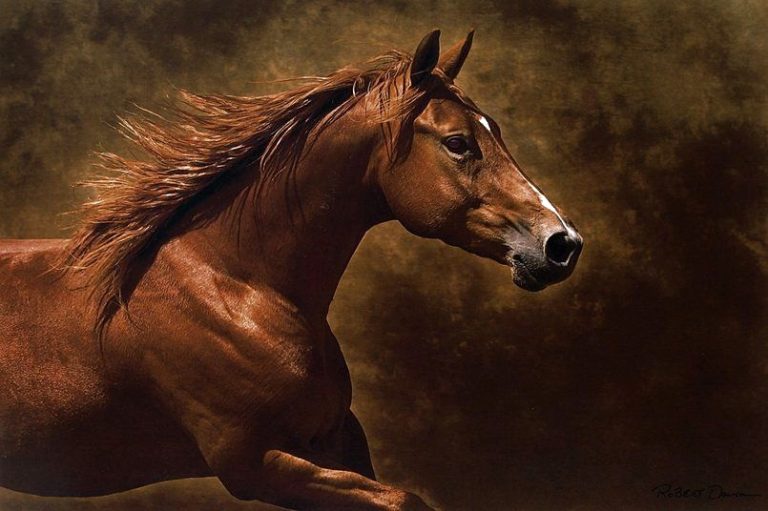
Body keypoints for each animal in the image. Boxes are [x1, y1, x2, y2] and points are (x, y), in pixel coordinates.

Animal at [0, 30, 582, 510]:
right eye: (458, 142)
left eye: (495, 130)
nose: (562, 245)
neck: (235, 285)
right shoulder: (256, 464)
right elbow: (406, 501)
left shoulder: (336, 445)